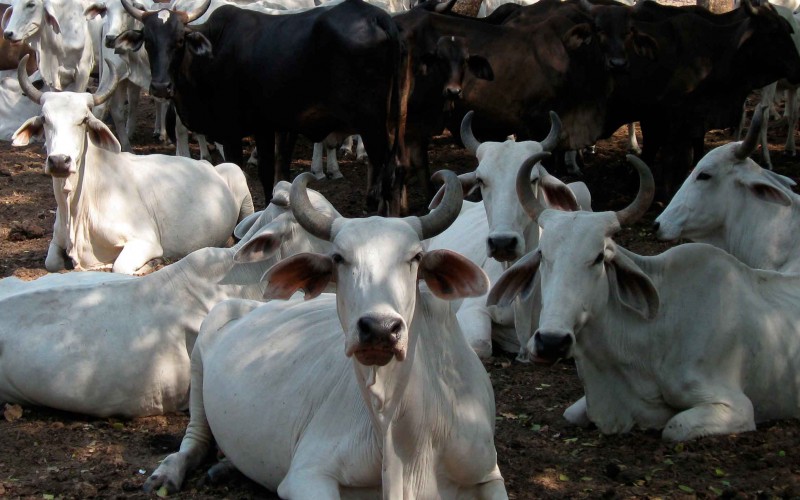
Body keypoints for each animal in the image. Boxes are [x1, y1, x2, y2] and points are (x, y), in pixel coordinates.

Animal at [11, 57, 254, 274]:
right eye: (44, 119)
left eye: (84, 120)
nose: (60, 161)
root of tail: (208, 164)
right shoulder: (57, 240)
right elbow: (51, 263)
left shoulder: (145, 240)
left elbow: (119, 267)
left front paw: (153, 263)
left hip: (238, 179)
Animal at [114, 0, 403, 213]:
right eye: (148, 41)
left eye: (179, 41)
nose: (161, 87)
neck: (212, 54)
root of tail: (378, 17)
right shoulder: (268, 127)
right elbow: (269, 173)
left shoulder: (234, 132)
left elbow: (242, 172)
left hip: (372, 126)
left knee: (383, 174)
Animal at [143, 170, 508, 498]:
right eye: (338, 257)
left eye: (416, 257)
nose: (379, 329)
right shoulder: (308, 474)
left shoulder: (488, 474)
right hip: (203, 351)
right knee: (195, 439)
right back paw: (168, 473)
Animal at [488, 154, 800, 441]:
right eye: (543, 255)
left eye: (599, 257)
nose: (552, 341)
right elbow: (573, 412)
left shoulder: (736, 406)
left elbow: (672, 428)